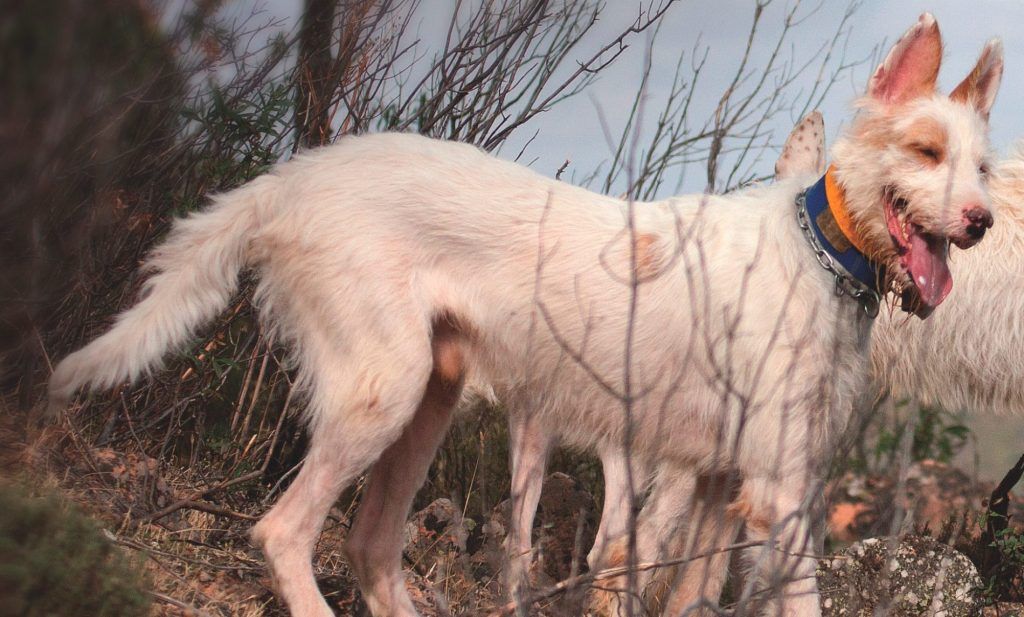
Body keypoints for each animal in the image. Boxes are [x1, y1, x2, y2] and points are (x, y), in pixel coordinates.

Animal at [48, 12, 999, 613]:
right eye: (924, 151)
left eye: (983, 168)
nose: (984, 222)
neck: (819, 252)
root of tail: (291, 178)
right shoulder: (777, 492)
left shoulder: (719, 485)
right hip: (380, 395)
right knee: (284, 531)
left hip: (427, 404)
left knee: (370, 548)